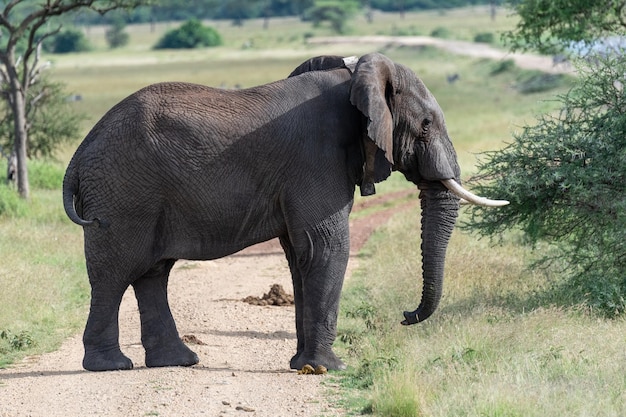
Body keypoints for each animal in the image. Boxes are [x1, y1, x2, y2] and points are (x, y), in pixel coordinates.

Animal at [63, 51, 504, 370]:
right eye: (427, 124)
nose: (406, 315)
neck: (355, 77)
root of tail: (79, 155)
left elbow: (300, 254)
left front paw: (301, 364)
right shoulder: (316, 158)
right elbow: (326, 247)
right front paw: (326, 368)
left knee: (152, 273)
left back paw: (177, 362)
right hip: (122, 193)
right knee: (114, 273)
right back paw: (111, 367)